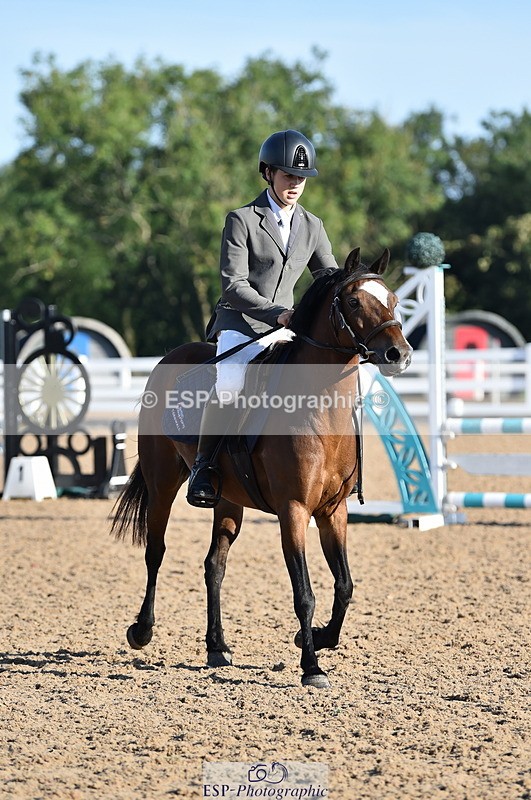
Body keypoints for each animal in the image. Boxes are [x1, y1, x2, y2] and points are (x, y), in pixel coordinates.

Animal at [111, 247, 412, 688]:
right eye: (355, 302)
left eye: (392, 299)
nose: (399, 355)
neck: (320, 410)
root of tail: (170, 358)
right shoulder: (293, 510)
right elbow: (304, 594)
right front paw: (311, 667)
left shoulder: (333, 512)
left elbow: (345, 586)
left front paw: (319, 639)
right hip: (162, 481)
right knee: (155, 551)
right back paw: (142, 630)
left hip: (227, 500)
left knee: (214, 566)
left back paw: (217, 647)